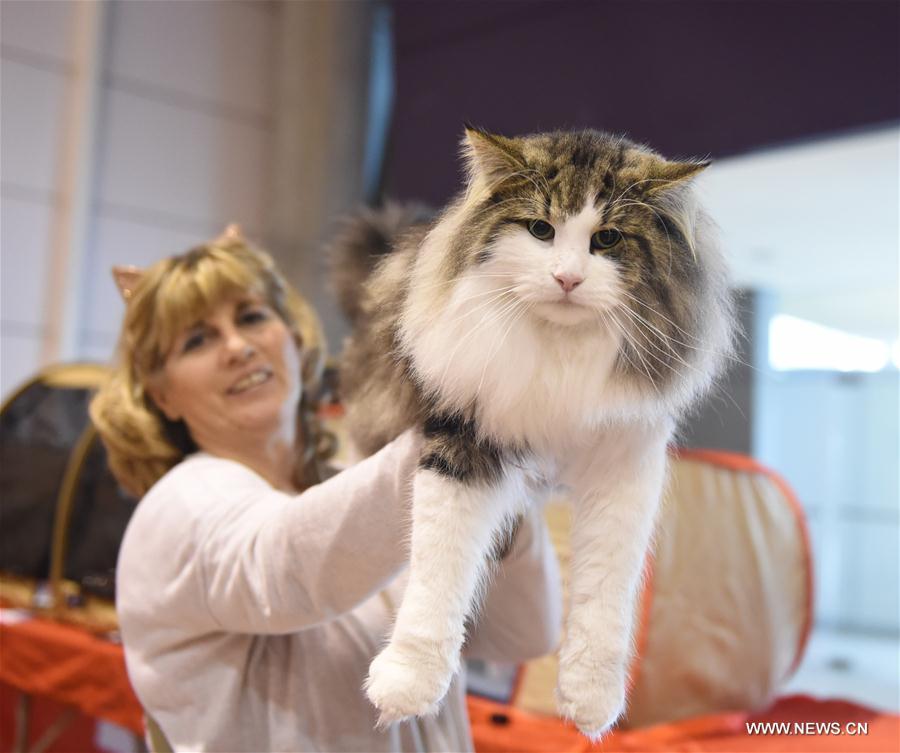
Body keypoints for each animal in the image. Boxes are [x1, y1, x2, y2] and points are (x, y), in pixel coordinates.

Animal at [326, 126, 736, 736]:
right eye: (541, 230)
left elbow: (606, 595)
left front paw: (590, 698)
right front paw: (407, 681)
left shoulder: (626, 462)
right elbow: (436, 573)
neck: (560, 356)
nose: (567, 278)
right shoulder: (462, 436)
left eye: (607, 239)